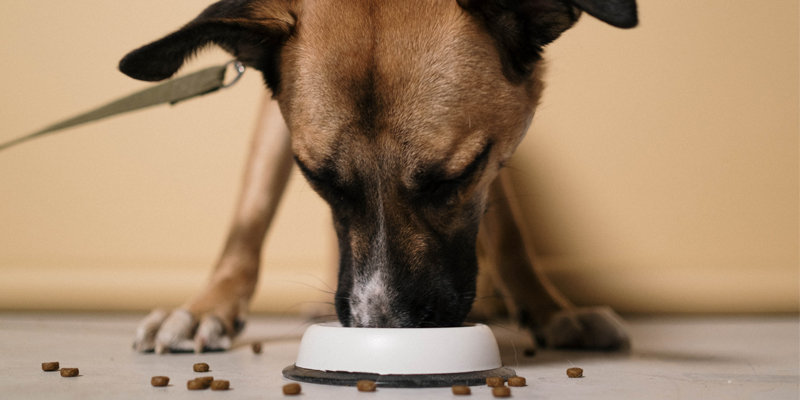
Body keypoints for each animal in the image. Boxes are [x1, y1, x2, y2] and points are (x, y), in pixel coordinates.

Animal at [120, 0, 636, 354]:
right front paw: (208, 306)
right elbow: (250, 215)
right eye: (319, 179)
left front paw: (551, 310)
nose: (384, 330)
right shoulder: (275, 121)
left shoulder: (496, 149)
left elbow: (508, 233)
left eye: (454, 179)